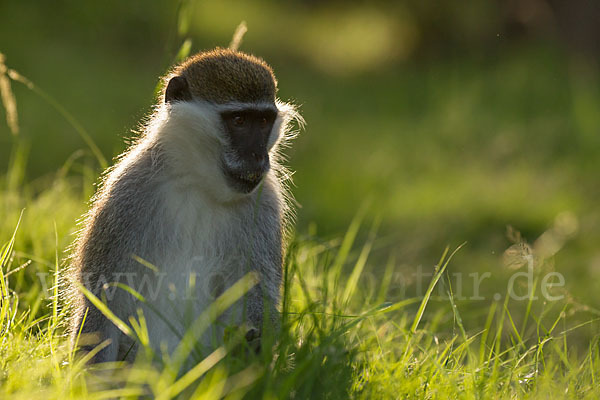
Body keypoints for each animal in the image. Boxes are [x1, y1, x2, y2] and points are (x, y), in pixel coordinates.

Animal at [64, 48, 304, 364]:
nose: (257, 156)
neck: (197, 182)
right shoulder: (126, 194)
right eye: (239, 120)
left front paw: (252, 351)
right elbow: (102, 298)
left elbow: (256, 294)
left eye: (263, 121)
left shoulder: (264, 204)